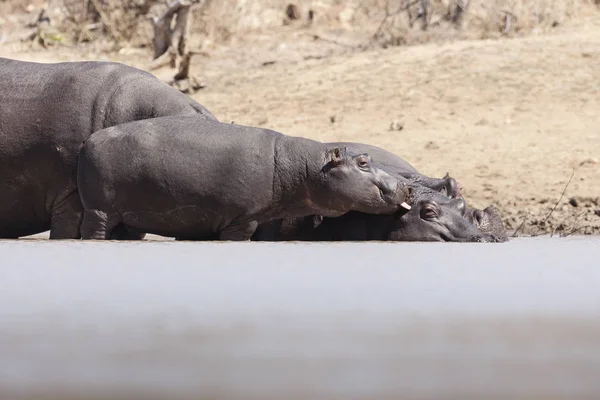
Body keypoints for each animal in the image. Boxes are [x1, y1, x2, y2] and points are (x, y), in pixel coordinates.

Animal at [76, 115, 412, 241]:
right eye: (363, 161)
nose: (406, 186)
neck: (306, 168)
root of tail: (88, 141)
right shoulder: (243, 219)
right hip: (99, 210)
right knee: (94, 231)